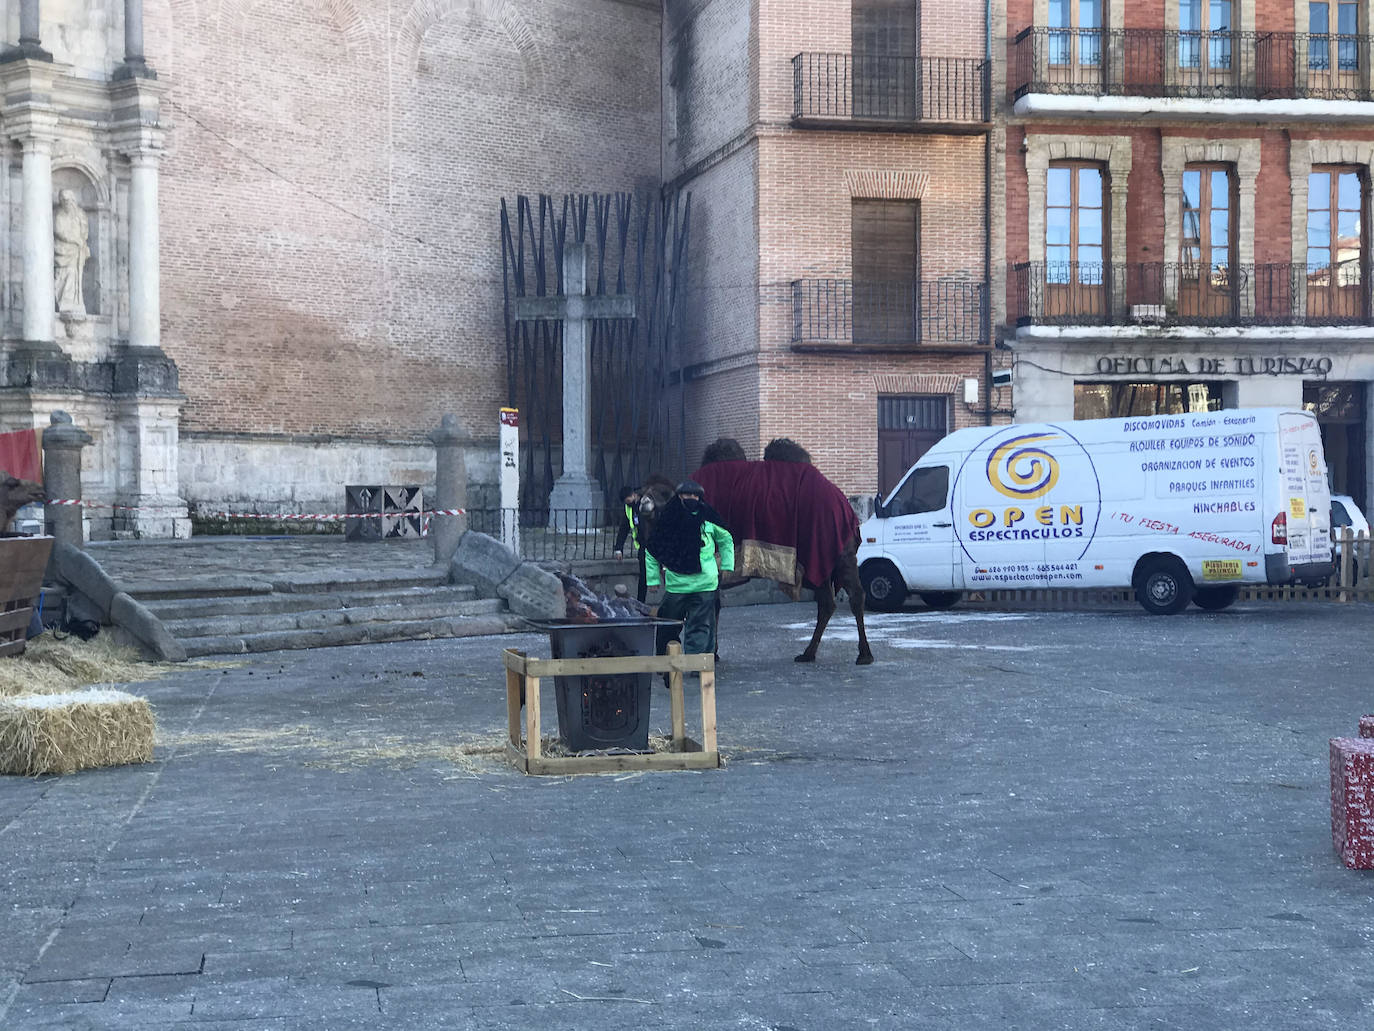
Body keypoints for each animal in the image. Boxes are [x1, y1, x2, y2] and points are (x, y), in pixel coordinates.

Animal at [637, 437, 873, 670]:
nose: (644, 503)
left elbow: (712, 608)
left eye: (663, 493)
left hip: (839, 553)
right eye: (643, 492)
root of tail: (846, 507)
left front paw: (712, 653)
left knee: (855, 596)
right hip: (819, 557)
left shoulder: (714, 565)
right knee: (826, 603)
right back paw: (808, 654)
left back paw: (864, 655)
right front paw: (713, 652)